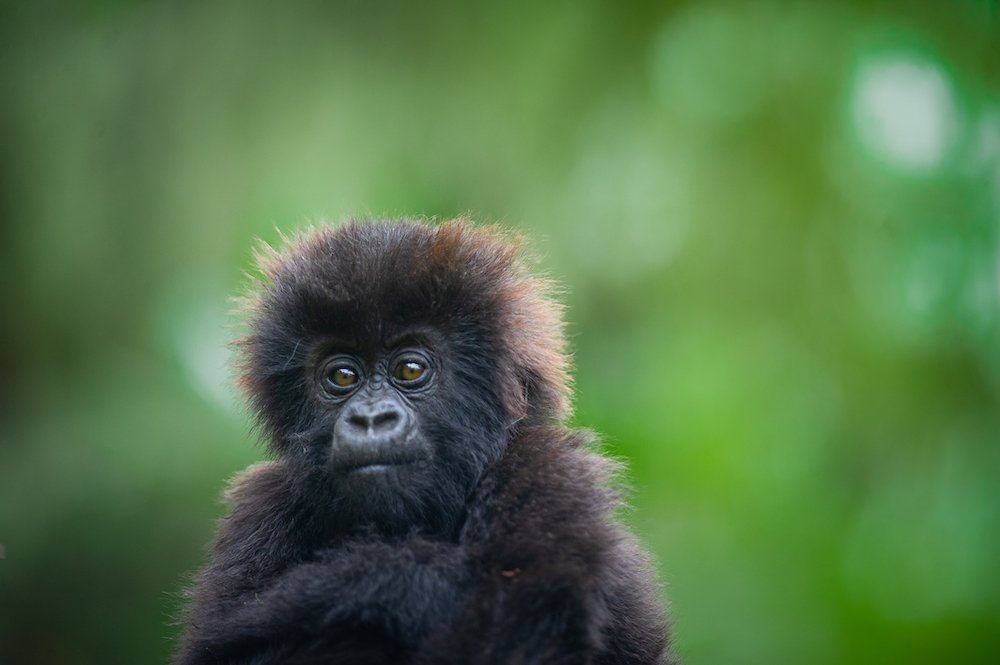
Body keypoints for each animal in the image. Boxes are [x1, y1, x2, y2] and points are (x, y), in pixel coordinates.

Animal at [173, 218, 677, 665]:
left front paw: (366, 580)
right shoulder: (260, 510)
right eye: (343, 376)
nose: (371, 419)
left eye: (409, 370)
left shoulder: (545, 471)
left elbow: (518, 625)